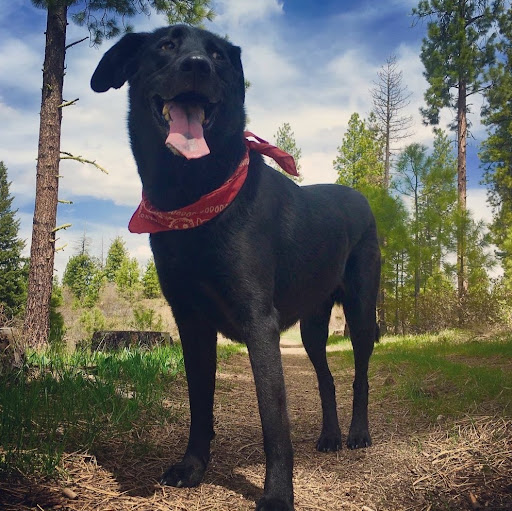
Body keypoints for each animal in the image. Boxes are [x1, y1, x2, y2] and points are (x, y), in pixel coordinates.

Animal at [91, 25, 380, 511]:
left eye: (218, 56)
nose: (197, 66)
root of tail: (359, 197)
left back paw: (358, 434)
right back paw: (329, 436)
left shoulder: (258, 322)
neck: (192, 195)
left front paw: (278, 495)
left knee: (359, 376)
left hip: (360, 312)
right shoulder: (191, 322)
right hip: (312, 329)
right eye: (166, 46)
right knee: (326, 381)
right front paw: (192, 467)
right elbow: (199, 403)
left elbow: (274, 421)